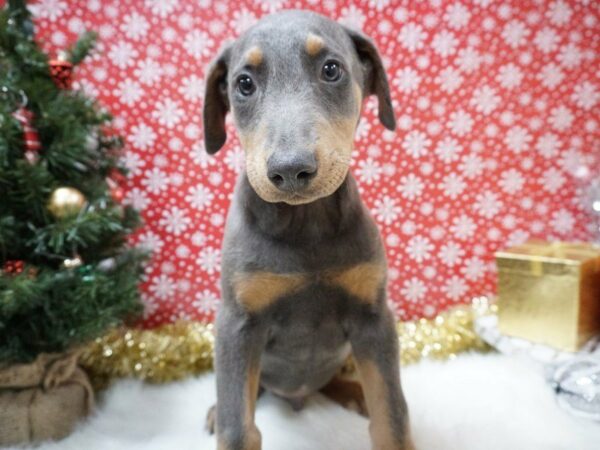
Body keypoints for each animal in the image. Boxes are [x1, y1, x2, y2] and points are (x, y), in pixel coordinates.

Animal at [202, 7, 412, 450]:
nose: (290, 170)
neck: (305, 224)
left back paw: (353, 392)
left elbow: (391, 413)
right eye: (244, 83)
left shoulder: (373, 317)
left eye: (331, 69)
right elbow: (237, 425)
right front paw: (225, 418)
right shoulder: (237, 323)